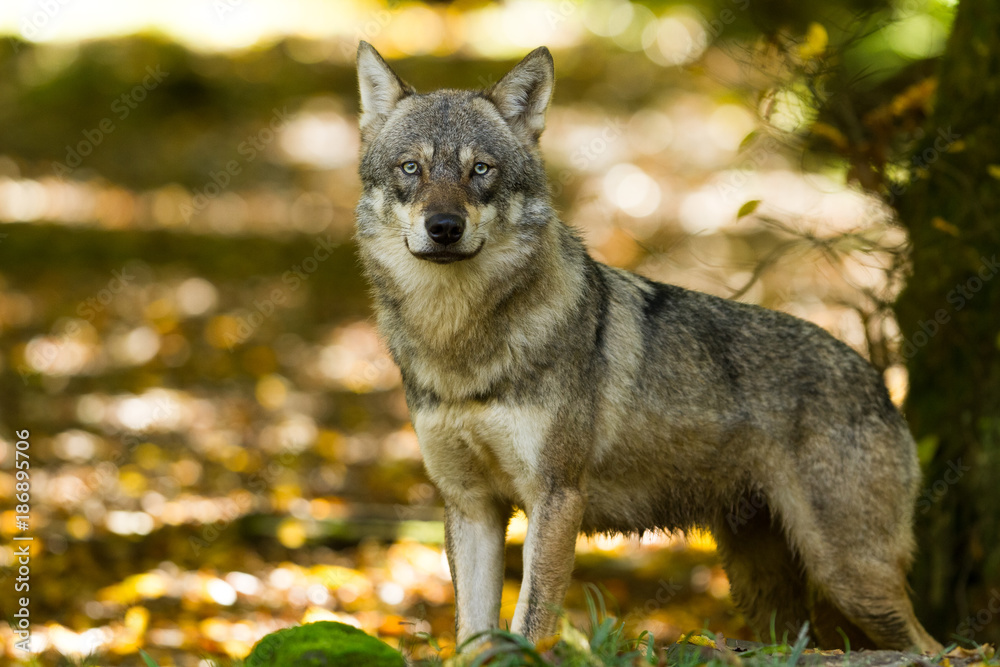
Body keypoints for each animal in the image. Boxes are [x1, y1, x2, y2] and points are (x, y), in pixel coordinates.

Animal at [353, 41, 941, 653]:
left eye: (481, 170)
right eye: (411, 168)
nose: (444, 226)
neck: (459, 344)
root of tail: (878, 379)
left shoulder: (556, 497)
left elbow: (532, 623)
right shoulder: (471, 506)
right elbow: (473, 635)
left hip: (850, 578)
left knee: (936, 646)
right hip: (767, 592)